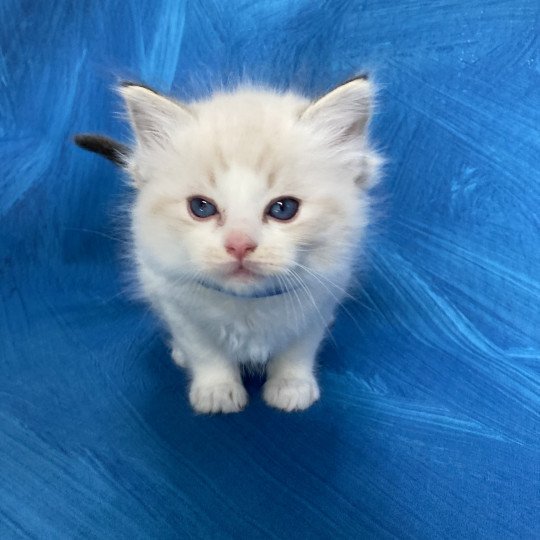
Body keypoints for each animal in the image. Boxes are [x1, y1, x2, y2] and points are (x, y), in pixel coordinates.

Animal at [75, 76, 380, 414]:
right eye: (201, 207)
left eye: (283, 208)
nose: (239, 245)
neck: (248, 303)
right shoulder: (175, 303)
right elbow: (204, 350)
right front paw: (217, 391)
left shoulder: (322, 298)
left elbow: (298, 349)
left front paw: (291, 386)